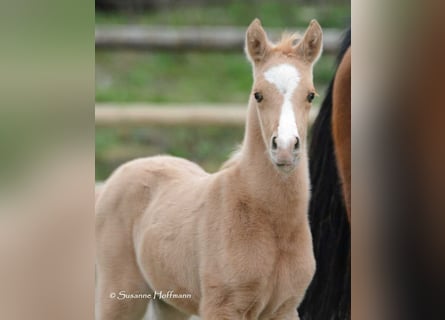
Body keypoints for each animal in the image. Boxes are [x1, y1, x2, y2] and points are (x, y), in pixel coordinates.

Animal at [94, 18, 322, 318]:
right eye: (258, 95)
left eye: (311, 95)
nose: (285, 148)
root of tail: (119, 173)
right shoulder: (221, 306)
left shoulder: (285, 309)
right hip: (120, 295)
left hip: (169, 301)